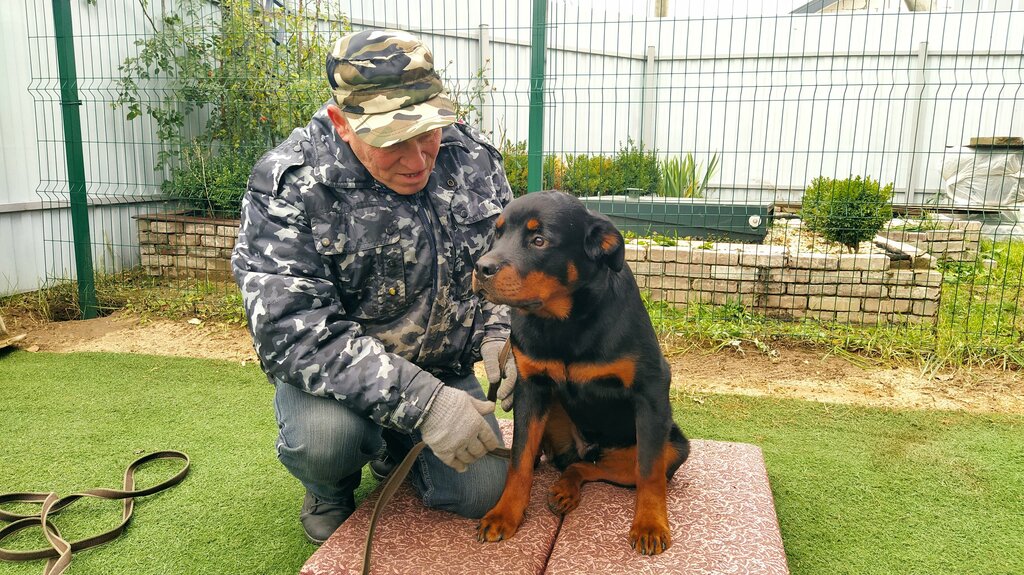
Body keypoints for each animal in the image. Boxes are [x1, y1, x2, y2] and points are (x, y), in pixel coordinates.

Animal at [472, 190, 689, 555]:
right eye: (496, 234)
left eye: (539, 240)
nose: (481, 268)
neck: (565, 321)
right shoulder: (531, 388)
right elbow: (519, 459)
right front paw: (505, 514)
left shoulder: (651, 390)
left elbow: (649, 471)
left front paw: (650, 525)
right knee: (573, 463)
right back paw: (563, 489)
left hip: (673, 446)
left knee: (603, 467)